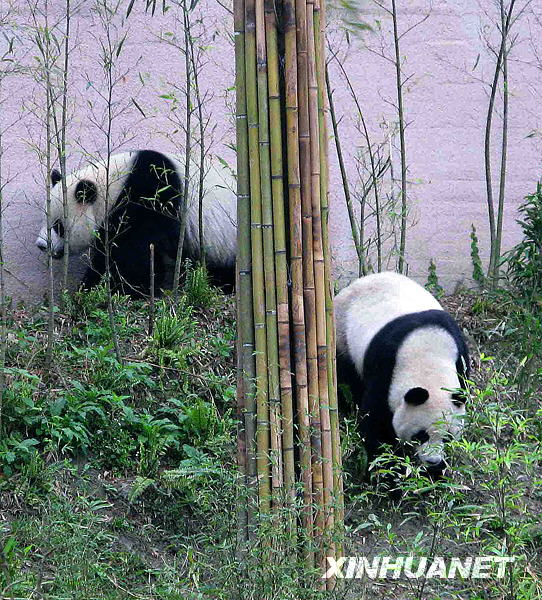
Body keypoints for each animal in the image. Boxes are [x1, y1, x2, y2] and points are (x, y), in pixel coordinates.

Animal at [336, 270, 472, 476]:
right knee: (347, 381)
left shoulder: (460, 360)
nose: (432, 461)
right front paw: (389, 474)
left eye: (448, 436)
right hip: (343, 335)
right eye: (421, 435)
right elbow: (376, 425)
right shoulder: (385, 367)